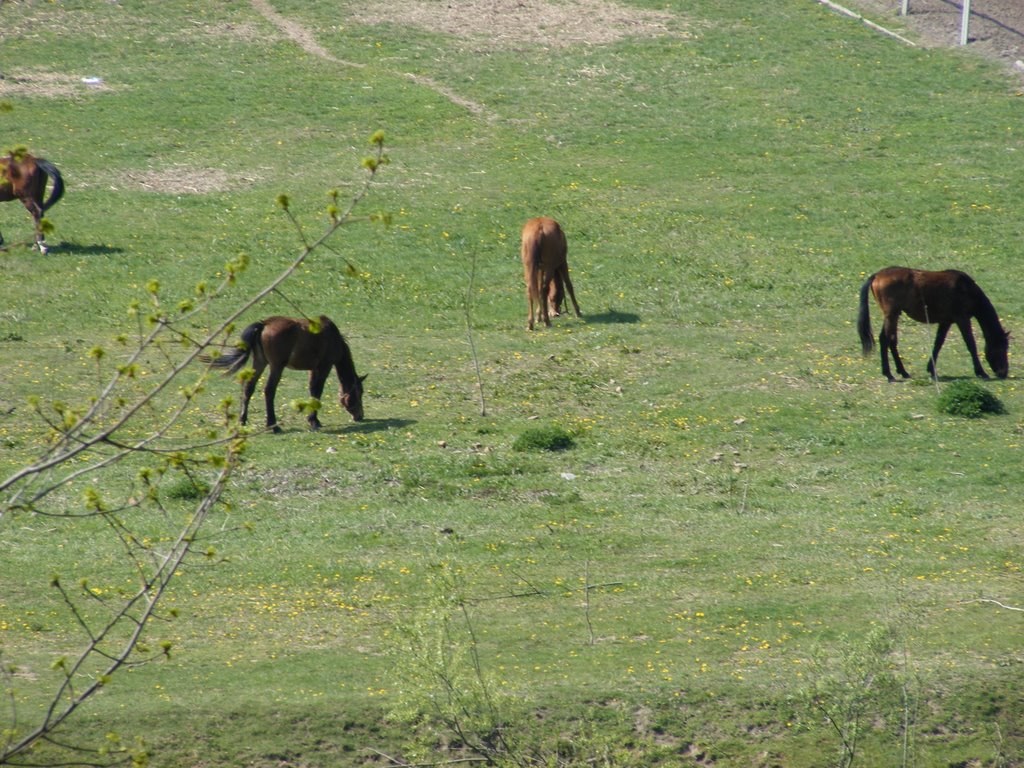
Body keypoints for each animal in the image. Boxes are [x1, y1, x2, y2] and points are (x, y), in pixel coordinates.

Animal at [205, 313, 366, 434]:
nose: (360, 416)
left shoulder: (313, 369)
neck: (332, 337)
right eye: (359, 392)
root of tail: (264, 324)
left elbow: (312, 390)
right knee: (269, 391)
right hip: (276, 367)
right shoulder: (324, 367)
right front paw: (314, 421)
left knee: (249, 388)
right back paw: (274, 426)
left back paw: (242, 421)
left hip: (260, 362)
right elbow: (317, 391)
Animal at [856, 268, 1007, 382]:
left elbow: (938, 344)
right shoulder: (962, 319)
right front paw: (981, 372)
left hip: (893, 315)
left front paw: (931, 369)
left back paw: (902, 372)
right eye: (1001, 348)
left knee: (890, 340)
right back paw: (889, 374)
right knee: (886, 340)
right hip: (891, 315)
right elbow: (971, 344)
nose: (1004, 373)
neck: (966, 289)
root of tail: (877, 275)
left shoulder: (946, 322)